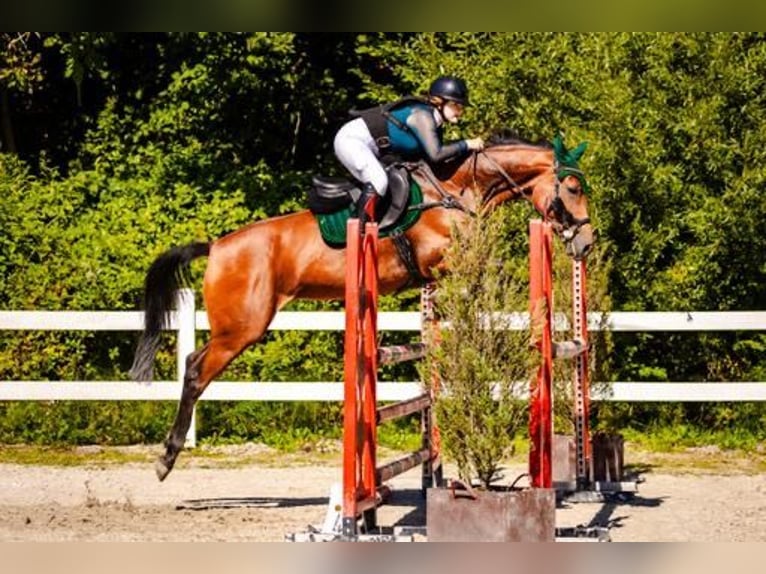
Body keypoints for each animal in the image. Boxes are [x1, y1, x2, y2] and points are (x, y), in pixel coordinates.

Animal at [129, 134, 592, 482]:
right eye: (573, 189)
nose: (586, 244)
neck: (455, 188)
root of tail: (216, 247)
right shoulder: (440, 257)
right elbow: (490, 269)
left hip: (239, 328)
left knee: (193, 362)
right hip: (241, 328)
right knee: (194, 370)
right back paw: (166, 458)